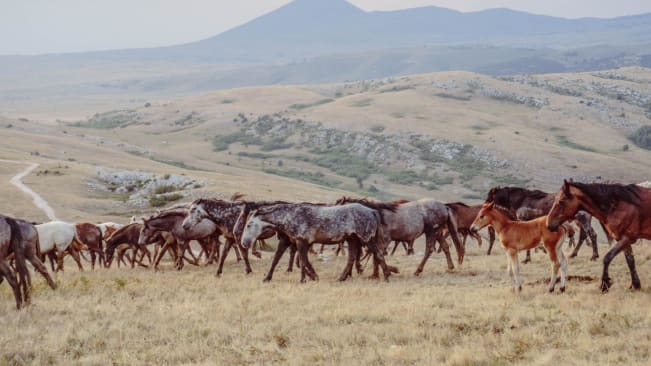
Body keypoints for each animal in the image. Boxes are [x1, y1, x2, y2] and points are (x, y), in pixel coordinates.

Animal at [238, 202, 394, 282]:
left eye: (249, 224)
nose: (244, 243)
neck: (290, 216)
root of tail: (372, 211)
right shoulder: (295, 242)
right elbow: (279, 259)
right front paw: (267, 278)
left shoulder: (301, 242)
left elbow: (303, 260)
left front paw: (307, 278)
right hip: (353, 239)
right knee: (352, 258)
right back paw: (341, 278)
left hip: (366, 239)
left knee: (378, 254)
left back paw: (386, 276)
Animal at [336, 196, 464, 276]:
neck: (376, 214)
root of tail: (444, 207)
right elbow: (375, 256)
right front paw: (376, 273)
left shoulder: (385, 239)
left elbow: (377, 255)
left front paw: (387, 271)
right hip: (437, 233)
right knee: (445, 247)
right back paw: (451, 267)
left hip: (432, 232)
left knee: (429, 250)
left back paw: (417, 271)